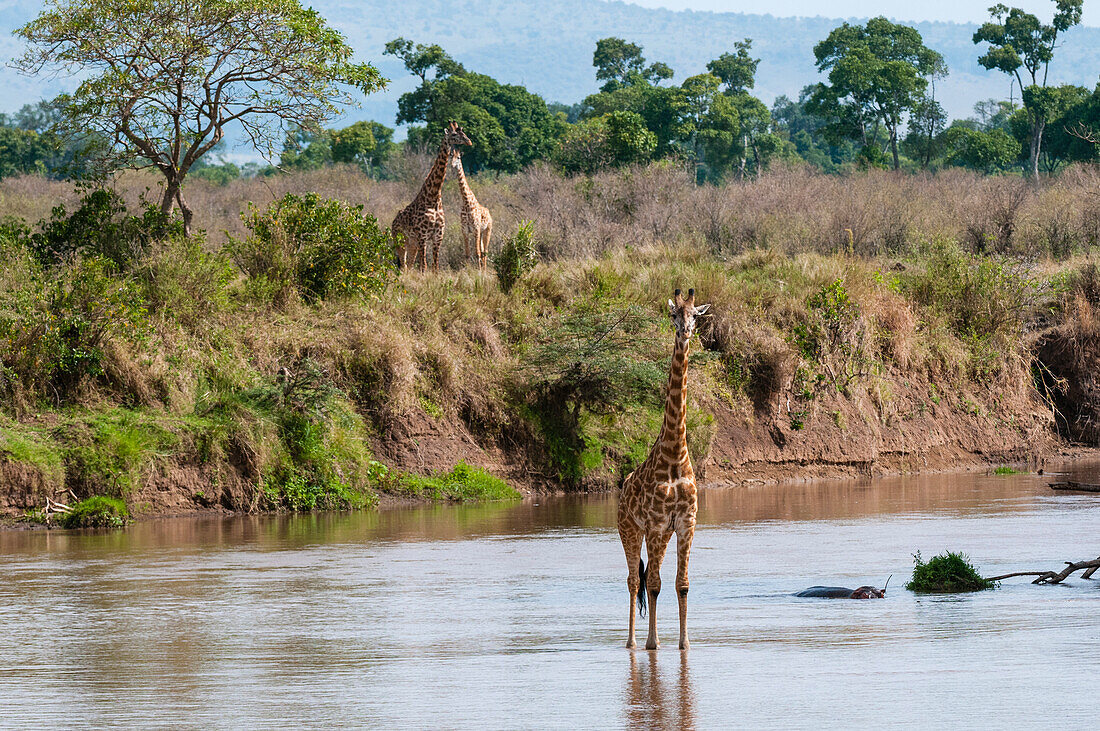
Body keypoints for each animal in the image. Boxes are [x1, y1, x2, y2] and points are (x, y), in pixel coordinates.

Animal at [616, 285, 708, 650]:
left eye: (695, 314)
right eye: (673, 314)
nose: (685, 331)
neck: (674, 455)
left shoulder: (685, 524)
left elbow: (682, 584)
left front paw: (684, 644)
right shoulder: (655, 525)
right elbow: (652, 585)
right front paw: (652, 643)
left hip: (661, 535)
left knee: (646, 578)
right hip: (628, 528)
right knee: (633, 579)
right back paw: (632, 642)